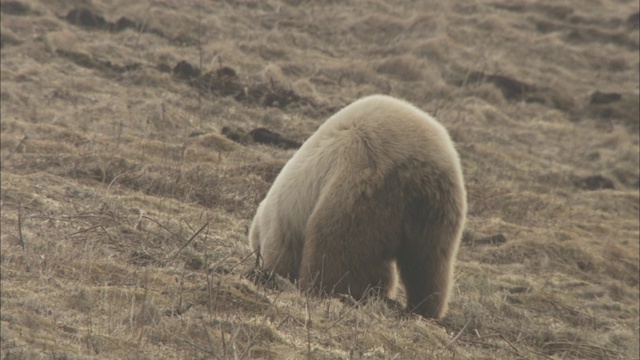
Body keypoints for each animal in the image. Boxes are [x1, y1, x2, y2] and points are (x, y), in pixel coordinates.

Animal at [249, 94, 464, 320]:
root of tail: (413, 168)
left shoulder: (282, 224)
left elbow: (283, 257)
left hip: (359, 189)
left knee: (333, 245)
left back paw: (323, 290)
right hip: (438, 204)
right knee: (430, 260)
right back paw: (425, 307)